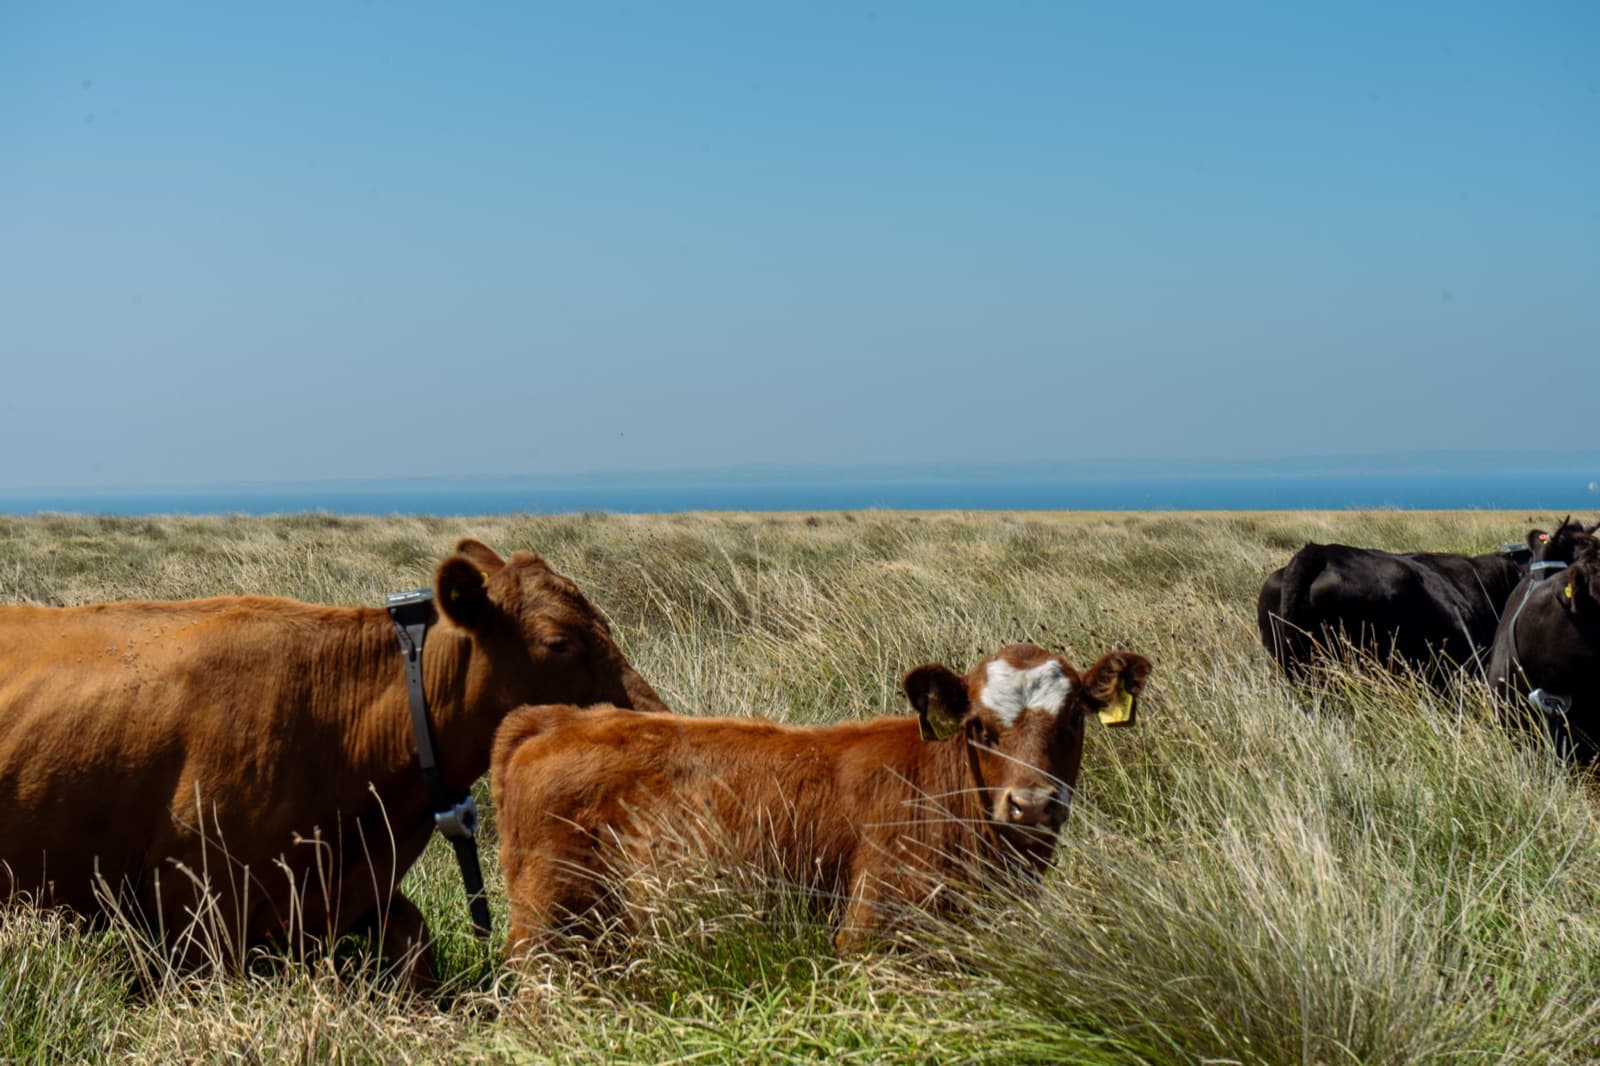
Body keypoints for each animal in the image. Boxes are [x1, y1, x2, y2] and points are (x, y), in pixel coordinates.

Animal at [491, 643, 1150, 954]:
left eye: (1073, 721)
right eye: (979, 728)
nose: (1032, 804)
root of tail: (556, 720)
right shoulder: (873, 930)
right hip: (549, 931)